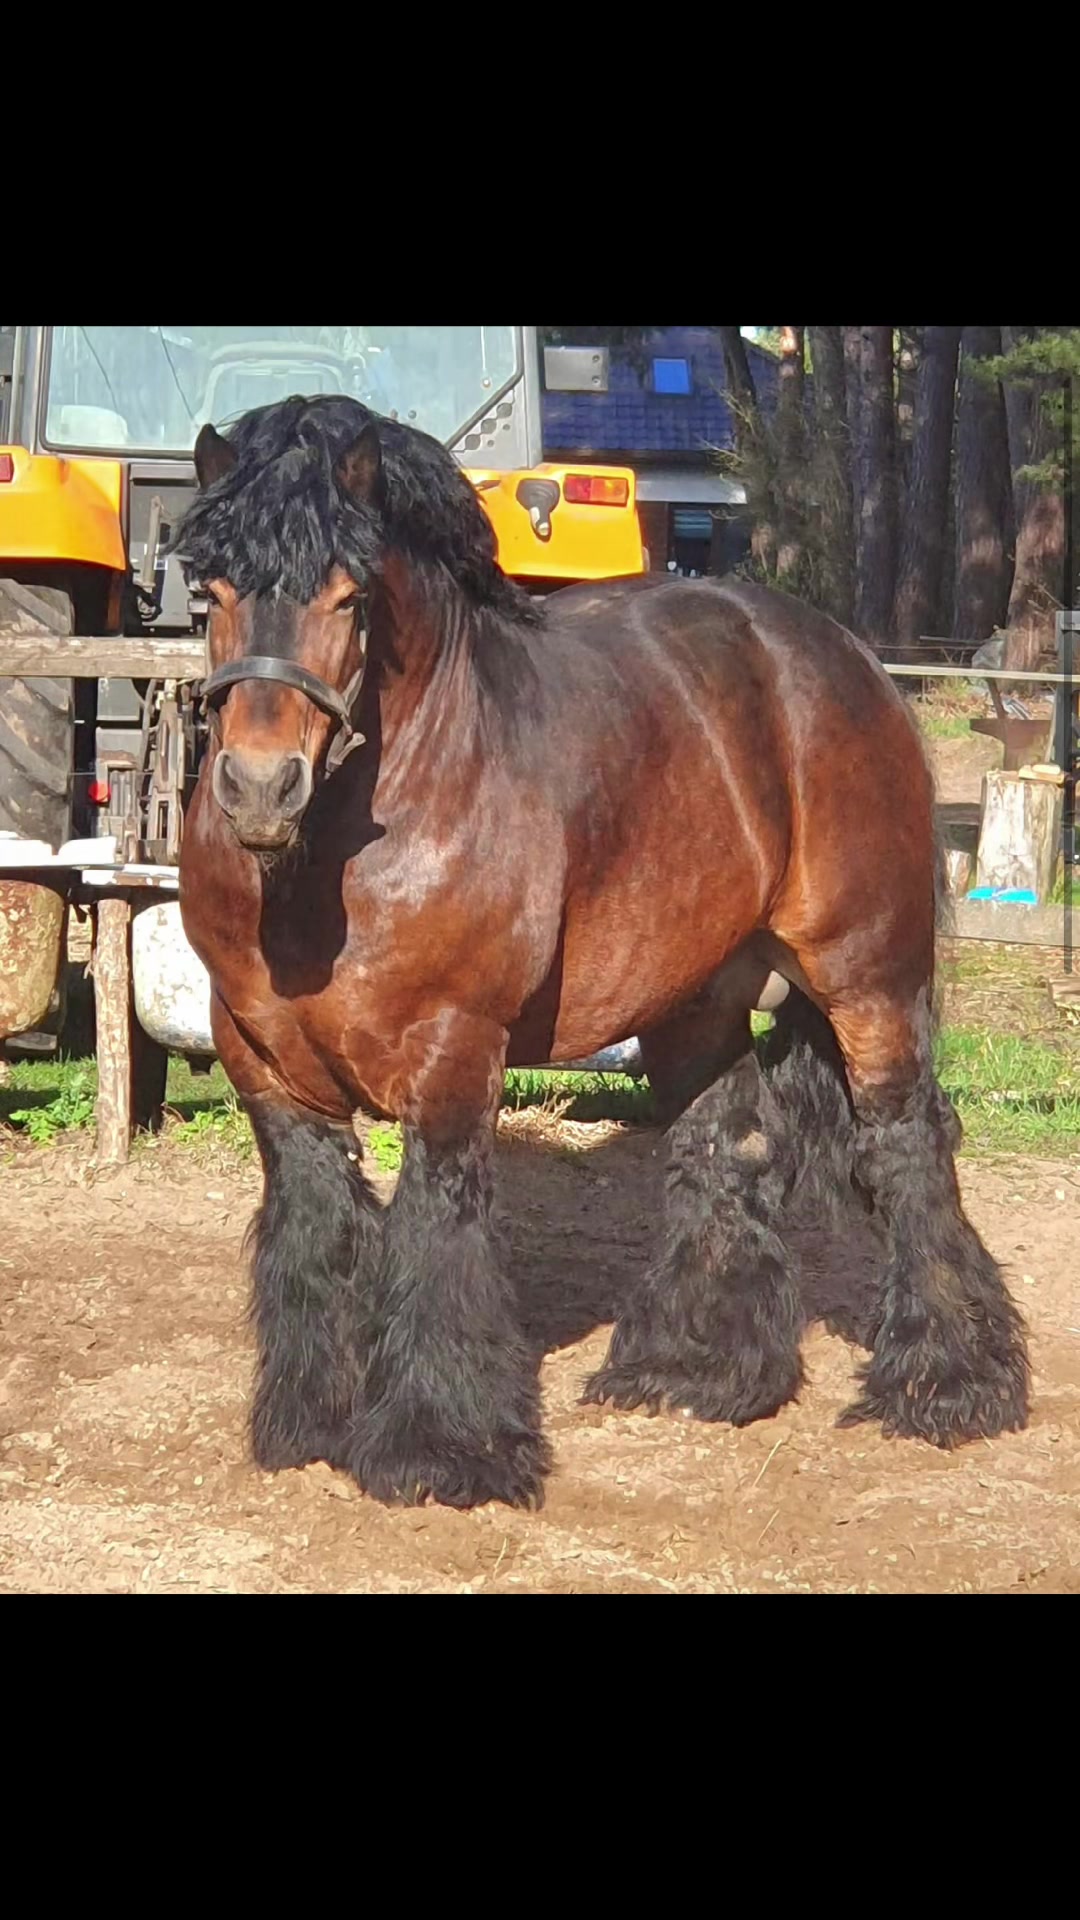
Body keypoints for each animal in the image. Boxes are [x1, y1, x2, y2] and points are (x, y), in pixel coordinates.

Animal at [176, 393, 1030, 1511]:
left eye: (349, 597)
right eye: (212, 590)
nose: (259, 787)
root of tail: (840, 657)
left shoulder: (454, 1051)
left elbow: (437, 1234)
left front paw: (440, 1447)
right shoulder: (263, 1059)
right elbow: (315, 1230)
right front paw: (309, 1422)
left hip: (868, 977)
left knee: (907, 1145)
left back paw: (947, 1382)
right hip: (697, 999)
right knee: (724, 1145)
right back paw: (697, 1371)